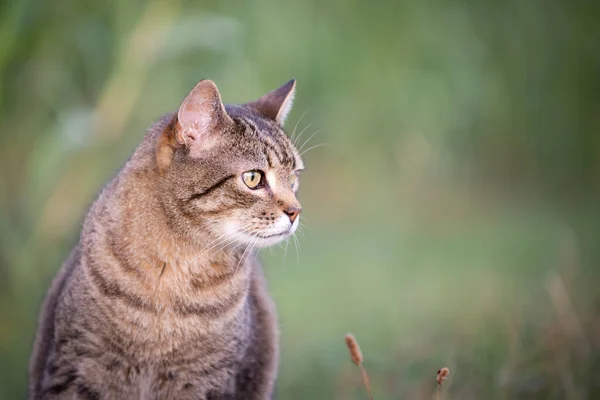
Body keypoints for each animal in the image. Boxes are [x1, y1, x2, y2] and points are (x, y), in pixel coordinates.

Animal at [28, 79, 304, 400]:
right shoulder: (77, 367)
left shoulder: (207, 381)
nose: (296, 211)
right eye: (253, 178)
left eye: (293, 179)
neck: (174, 268)